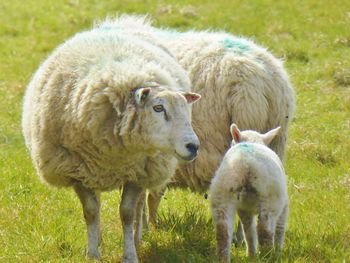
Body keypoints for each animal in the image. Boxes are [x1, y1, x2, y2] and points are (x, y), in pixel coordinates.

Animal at [21, 20, 201, 263]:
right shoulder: (76, 172)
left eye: (185, 109)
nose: (193, 146)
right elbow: (90, 212)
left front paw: (130, 254)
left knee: (139, 206)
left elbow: (127, 213)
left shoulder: (138, 171)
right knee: (98, 203)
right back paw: (99, 239)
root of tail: (124, 22)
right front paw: (92, 253)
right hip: (91, 171)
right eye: (158, 108)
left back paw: (137, 237)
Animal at [209, 125, 288, 262]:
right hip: (270, 197)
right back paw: (268, 256)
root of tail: (246, 164)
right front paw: (278, 252)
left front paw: (251, 255)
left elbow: (248, 230)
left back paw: (226, 257)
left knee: (223, 230)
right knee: (264, 230)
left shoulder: (244, 209)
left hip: (222, 194)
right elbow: (280, 228)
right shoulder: (284, 205)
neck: (253, 141)